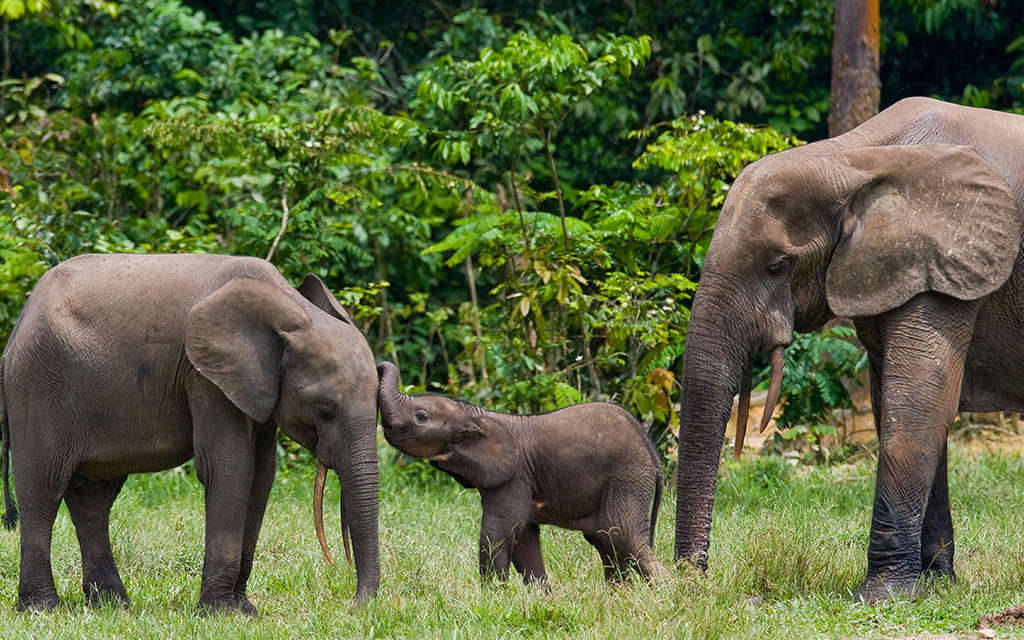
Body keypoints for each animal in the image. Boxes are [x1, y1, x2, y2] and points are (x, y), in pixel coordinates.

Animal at [0, 251, 380, 610]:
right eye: (325, 411)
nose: (355, 606)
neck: (291, 308)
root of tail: (17, 329)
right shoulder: (204, 378)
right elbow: (229, 467)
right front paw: (221, 612)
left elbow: (261, 476)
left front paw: (244, 609)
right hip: (37, 384)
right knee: (43, 489)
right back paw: (43, 608)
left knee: (93, 498)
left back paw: (113, 605)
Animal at [380, 360, 667, 585]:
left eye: (421, 416)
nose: (380, 364)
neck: (476, 414)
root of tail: (654, 456)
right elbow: (524, 541)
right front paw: (540, 599)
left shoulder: (514, 477)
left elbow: (497, 533)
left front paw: (493, 598)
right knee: (607, 543)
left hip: (628, 479)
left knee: (623, 538)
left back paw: (667, 593)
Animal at [675, 97, 1024, 602]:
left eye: (777, 266)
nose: (692, 581)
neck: (850, 159)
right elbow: (898, 407)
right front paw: (934, 588)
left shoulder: (945, 261)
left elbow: (917, 406)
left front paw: (882, 596)